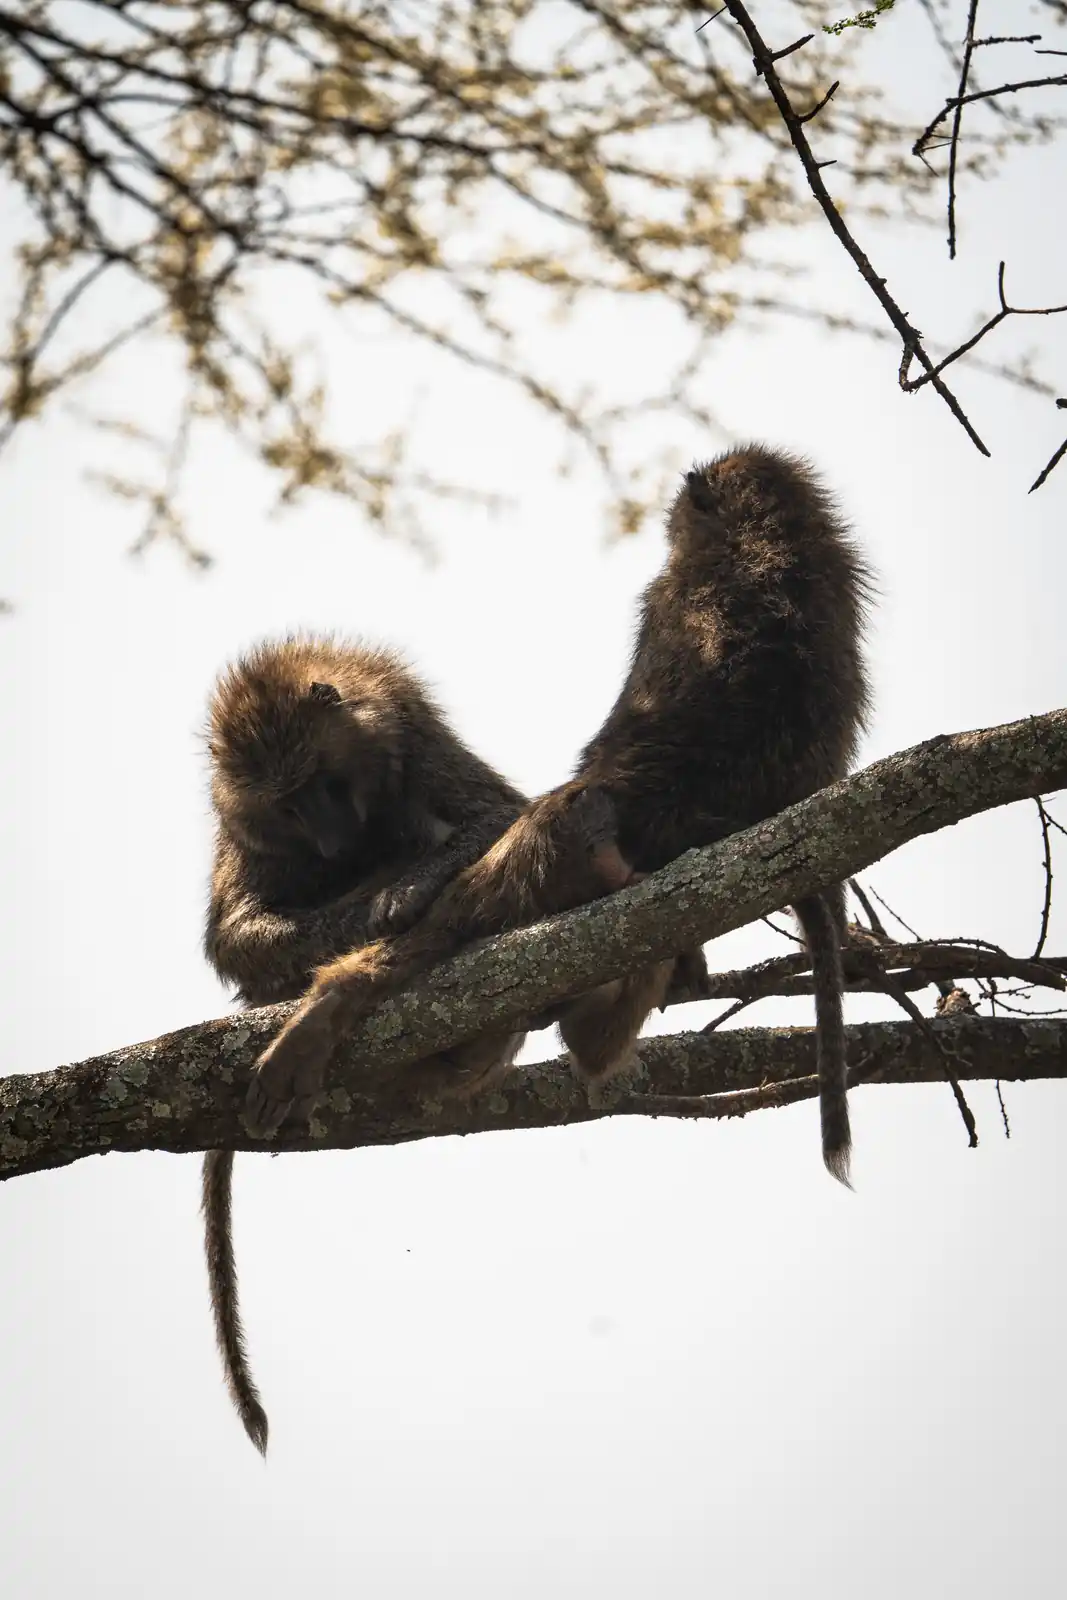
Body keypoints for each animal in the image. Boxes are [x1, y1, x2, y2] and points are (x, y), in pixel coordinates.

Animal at [202, 634, 527, 1453]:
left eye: (321, 783)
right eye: (287, 804)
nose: (329, 840)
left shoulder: (415, 737)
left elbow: (499, 815)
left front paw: (403, 888)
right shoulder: (244, 820)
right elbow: (236, 935)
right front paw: (384, 894)